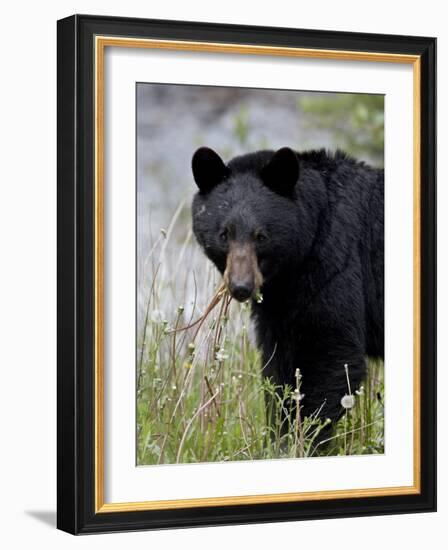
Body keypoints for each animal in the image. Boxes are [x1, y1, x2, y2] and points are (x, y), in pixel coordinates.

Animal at [191, 146, 384, 440]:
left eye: (261, 236)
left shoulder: (335, 264)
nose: (241, 287)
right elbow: (279, 365)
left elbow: (331, 353)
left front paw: (302, 439)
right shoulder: (280, 303)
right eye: (224, 234)